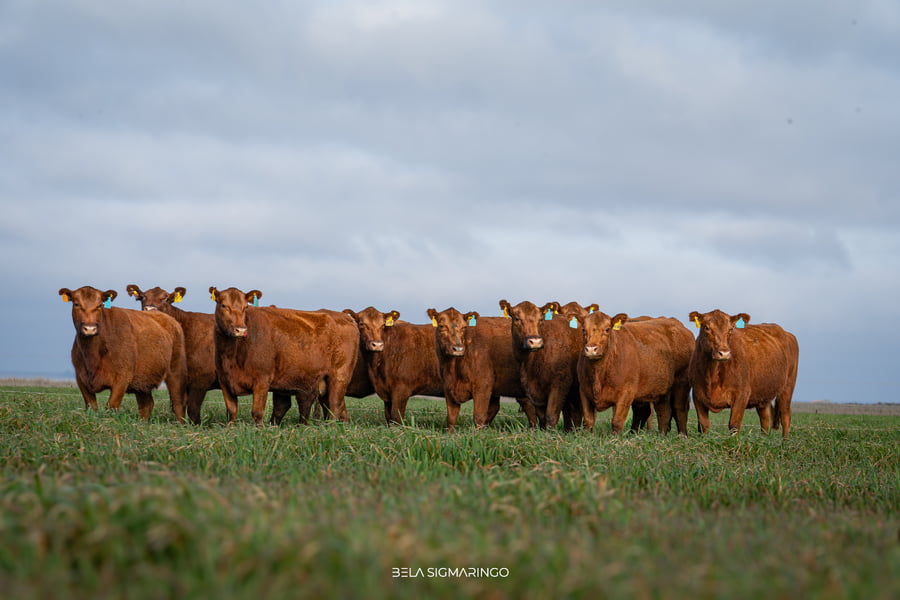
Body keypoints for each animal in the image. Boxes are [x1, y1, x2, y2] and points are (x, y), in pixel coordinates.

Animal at [58, 286, 187, 422]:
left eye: (100, 305)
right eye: (76, 304)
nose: (90, 328)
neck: (93, 355)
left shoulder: (122, 378)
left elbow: (111, 407)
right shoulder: (81, 378)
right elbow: (91, 407)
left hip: (176, 370)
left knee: (178, 402)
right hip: (143, 379)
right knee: (146, 404)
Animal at [210, 287, 359, 426]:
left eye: (246, 306)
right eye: (223, 305)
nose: (240, 330)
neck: (232, 355)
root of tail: (345, 317)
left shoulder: (262, 379)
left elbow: (257, 412)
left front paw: (259, 429)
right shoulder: (224, 380)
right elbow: (232, 411)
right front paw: (230, 428)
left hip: (339, 376)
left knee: (334, 405)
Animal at [498, 299, 582, 430]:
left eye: (540, 319)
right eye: (517, 318)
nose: (535, 342)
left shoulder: (560, 384)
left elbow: (551, 416)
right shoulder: (532, 390)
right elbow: (541, 417)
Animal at [688, 310, 799, 439]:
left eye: (731, 329)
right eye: (706, 327)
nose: (724, 353)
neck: (712, 374)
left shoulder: (742, 394)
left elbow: (734, 425)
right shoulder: (697, 395)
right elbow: (703, 424)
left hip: (788, 387)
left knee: (785, 415)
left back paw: (785, 441)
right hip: (763, 394)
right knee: (765, 420)